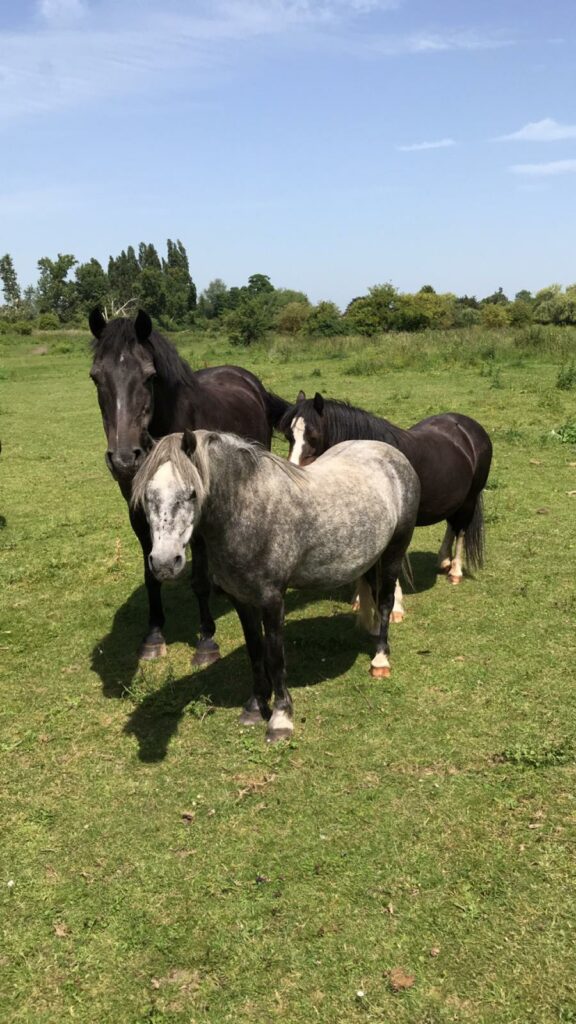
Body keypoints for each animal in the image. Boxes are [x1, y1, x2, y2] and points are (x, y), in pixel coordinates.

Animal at [88, 308, 290, 664]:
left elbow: (197, 582)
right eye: (96, 377)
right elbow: (151, 575)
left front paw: (206, 640)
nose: (124, 460)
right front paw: (153, 636)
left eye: (149, 376)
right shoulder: (139, 514)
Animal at [131, 430, 421, 742]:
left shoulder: (272, 601)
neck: (250, 511)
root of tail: (391, 453)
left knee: (386, 601)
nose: (164, 563)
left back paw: (380, 659)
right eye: (147, 496)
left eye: (192, 493)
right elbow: (255, 652)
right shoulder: (242, 601)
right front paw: (255, 706)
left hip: (393, 551)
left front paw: (281, 718)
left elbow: (274, 657)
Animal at [280, 391, 492, 619]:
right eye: (289, 436)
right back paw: (443, 560)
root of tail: (470, 427)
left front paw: (395, 607)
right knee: (451, 525)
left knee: (461, 530)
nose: (294, 474)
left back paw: (455, 571)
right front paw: (359, 600)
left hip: (470, 499)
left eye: (313, 435)